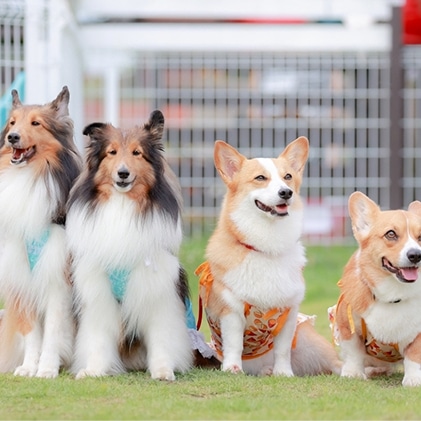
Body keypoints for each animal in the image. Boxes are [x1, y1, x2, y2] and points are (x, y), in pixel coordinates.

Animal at [0, 87, 82, 376]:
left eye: (36, 123)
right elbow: (31, 332)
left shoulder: (58, 279)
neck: (31, 176)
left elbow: (54, 330)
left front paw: (47, 368)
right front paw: (29, 367)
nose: (12, 137)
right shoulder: (24, 279)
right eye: (12, 123)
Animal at [66, 109, 193, 380]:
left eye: (137, 153)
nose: (123, 173)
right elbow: (98, 336)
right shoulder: (97, 291)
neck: (123, 204)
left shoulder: (157, 290)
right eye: (111, 152)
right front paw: (94, 370)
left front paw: (163, 370)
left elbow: (161, 336)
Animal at [196, 137, 342, 374]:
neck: (266, 247)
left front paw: (284, 373)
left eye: (288, 177)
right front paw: (232, 368)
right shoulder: (231, 311)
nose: (286, 192)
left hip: (308, 342)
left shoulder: (288, 314)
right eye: (260, 178)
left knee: (335, 363)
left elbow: (282, 349)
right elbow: (234, 344)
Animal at [328, 192, 421, 386]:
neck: (392, 295)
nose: (416, 255)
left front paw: (414, 379)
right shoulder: (346, 325)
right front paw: (353, 373)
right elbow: (354, 353)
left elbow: (414, 355)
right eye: (391, 234)